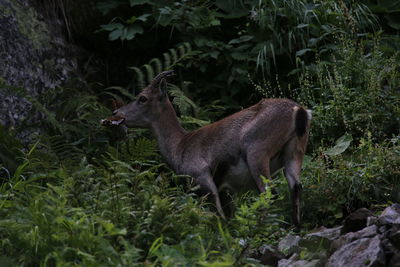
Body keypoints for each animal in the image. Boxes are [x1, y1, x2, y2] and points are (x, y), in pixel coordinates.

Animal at [101, 70, 310, 229]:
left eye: (142, 98)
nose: (115, 113)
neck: (179, 147)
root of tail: (300, 111)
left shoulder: (201, 175)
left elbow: (218, 214)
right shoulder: (225, 186)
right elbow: (228, 212)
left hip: (257, 151)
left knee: (269, 193)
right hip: (295, 150)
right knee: (296, 187)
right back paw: (296, 227)